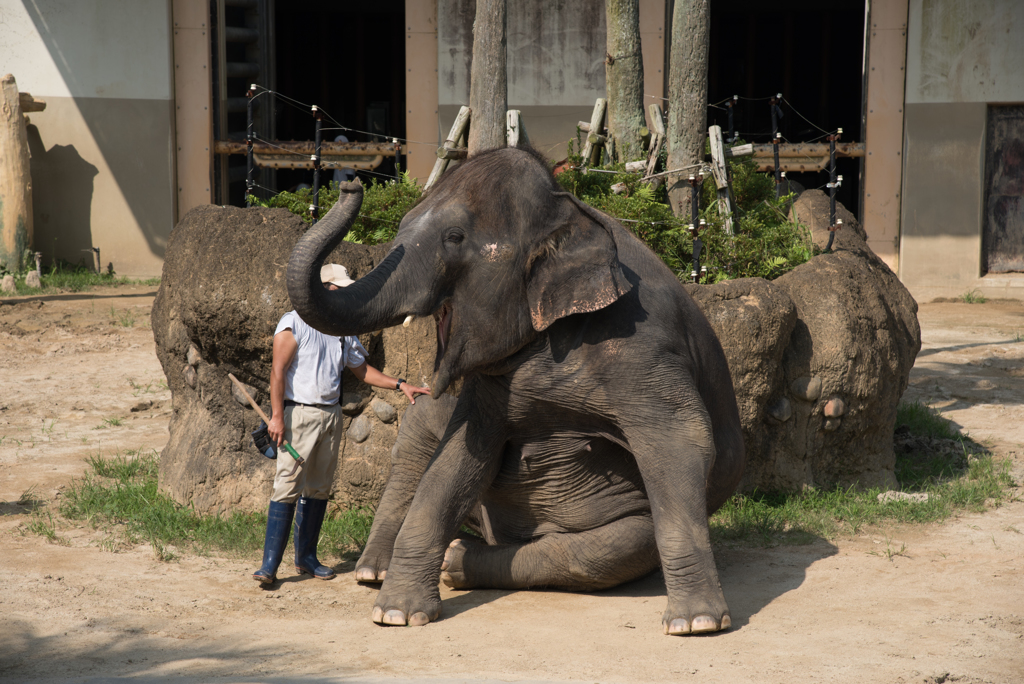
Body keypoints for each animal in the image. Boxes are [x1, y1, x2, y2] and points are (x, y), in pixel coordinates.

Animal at [286, 145, 745, 634]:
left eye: (454, 236)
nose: (349, 182)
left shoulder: (644, 345)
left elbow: (679, 440)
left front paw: (696, 623)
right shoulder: (490, 386)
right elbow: (458, 460)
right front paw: (395, 614)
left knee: (609, 550)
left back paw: (458, 561)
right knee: (415, 444)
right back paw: (378, 571)